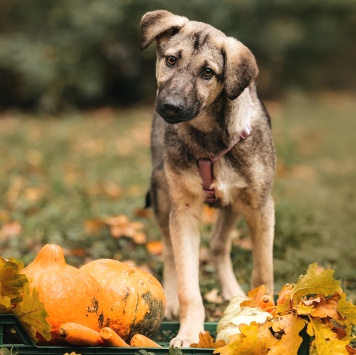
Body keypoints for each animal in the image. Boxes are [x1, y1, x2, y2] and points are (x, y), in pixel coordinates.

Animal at [140, 9, 276, 348]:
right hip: (162, 196)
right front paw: (189, 333)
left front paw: (265, 315)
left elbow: (263, 272)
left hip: (235, 203)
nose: (170, 107)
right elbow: (188, 285)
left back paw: (235, 294)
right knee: (169, 250)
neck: (209, 139)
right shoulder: (184, 211)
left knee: (217, 245)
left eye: (208, 73)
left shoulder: (261, 207)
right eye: (171, 60)